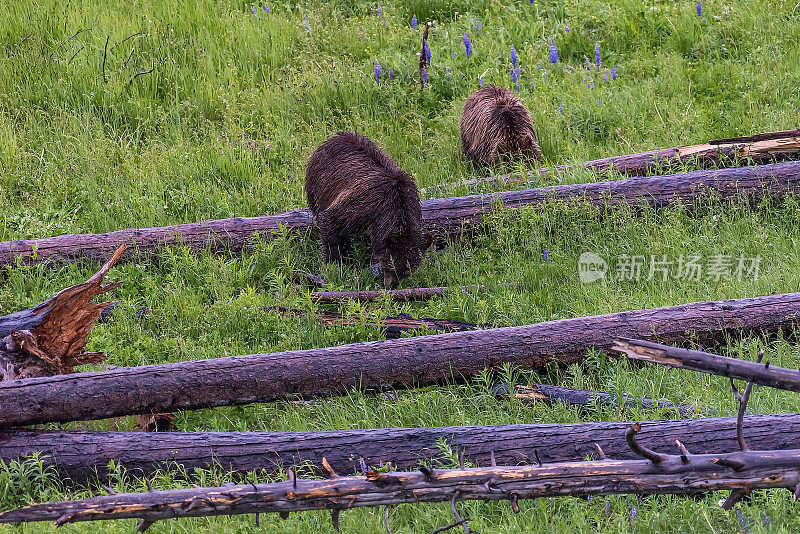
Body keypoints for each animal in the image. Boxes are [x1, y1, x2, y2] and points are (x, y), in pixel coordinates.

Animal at [304, 133, 432, 292]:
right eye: (392, 267)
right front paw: (334, 265)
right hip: (317, 187)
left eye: (406, 272)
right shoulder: (363, 204)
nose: (391, 286)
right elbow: (331, 222)